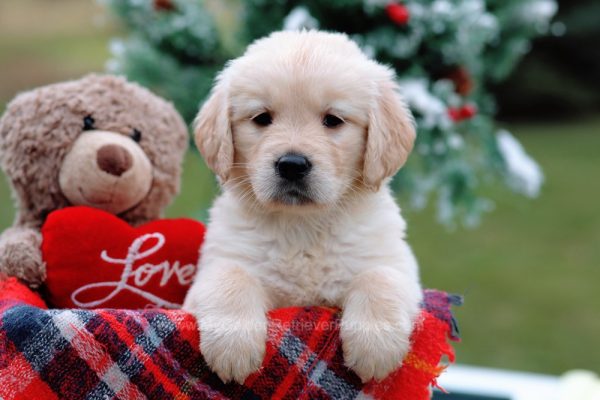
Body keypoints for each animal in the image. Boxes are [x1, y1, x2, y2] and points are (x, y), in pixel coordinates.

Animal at [183, 30, 422, 384]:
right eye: (262, 118)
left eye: (333, 120)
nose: (292, 165)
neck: (303, 225)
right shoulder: (216, 264)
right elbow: (230, 276)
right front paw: (234, 347)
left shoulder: (397, 263)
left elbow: (380, 277)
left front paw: (375, 346)